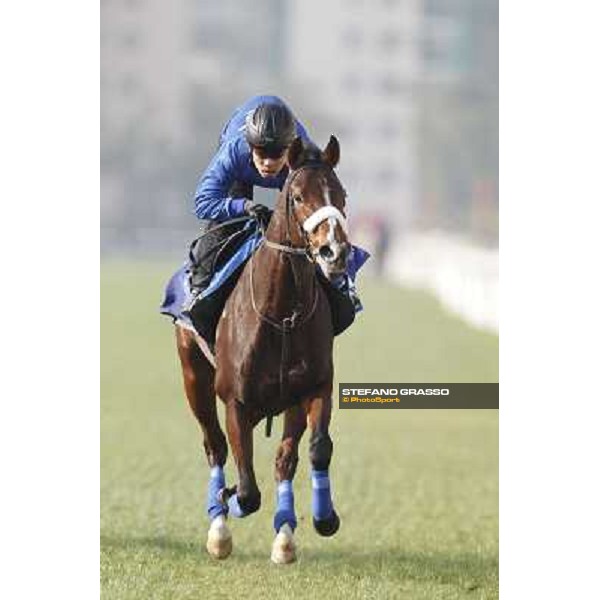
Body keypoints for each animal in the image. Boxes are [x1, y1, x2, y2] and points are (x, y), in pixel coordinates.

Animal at [173, 135, 350, 564]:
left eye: (341, 195)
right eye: (298, 196)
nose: (334, 252)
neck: (282, 313)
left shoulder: (313, 388)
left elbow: (315, 450)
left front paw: (322, 519)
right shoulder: (236, 401)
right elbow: (248, 488)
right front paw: (231, 499)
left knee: (282, 460)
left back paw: (284, 535)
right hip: (194, 377)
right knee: (215, 446)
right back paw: (219, 526)